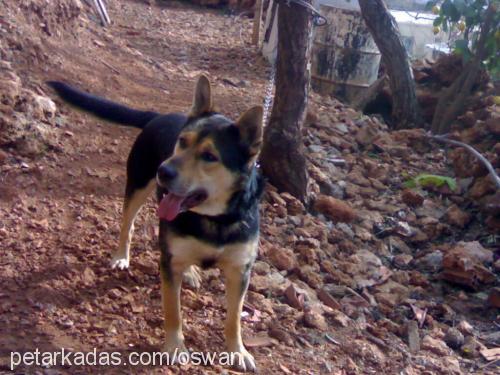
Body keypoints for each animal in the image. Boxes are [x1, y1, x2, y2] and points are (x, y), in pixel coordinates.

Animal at [48, 77, 264, 374]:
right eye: (182, 142)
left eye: (210, 156)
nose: (164, 170)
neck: (214, 218)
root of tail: (158, 115)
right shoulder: (170, 265)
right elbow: (173, 310)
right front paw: (174, 348)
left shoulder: (239, 270)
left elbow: (234, 318)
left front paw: (237, 351)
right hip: (138, 185)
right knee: (128, 225)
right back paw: (122, 256)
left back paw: (191, 271)